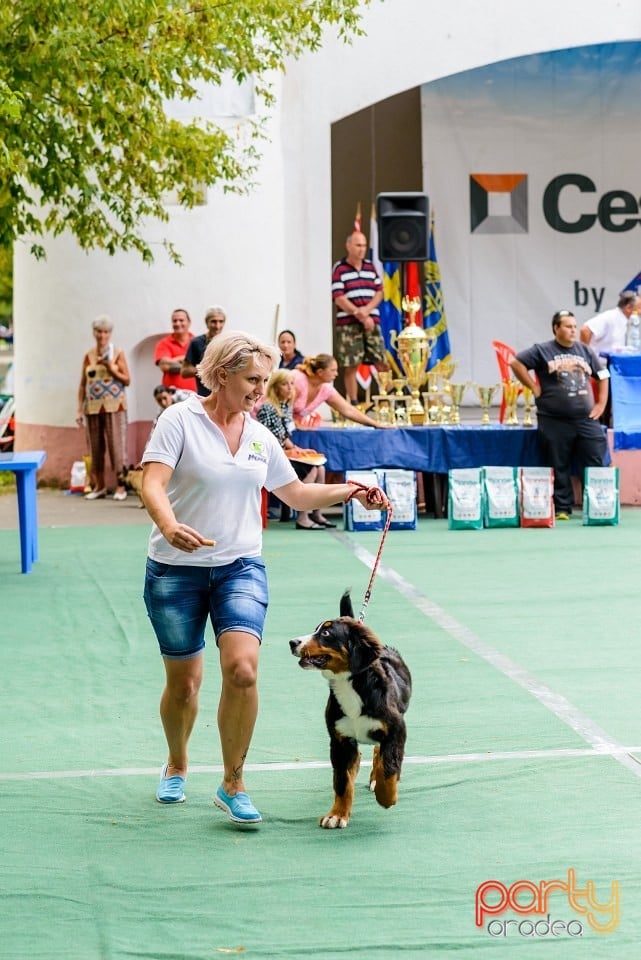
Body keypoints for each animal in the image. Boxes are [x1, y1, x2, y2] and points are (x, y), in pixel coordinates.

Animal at [288, 588, 410, 828]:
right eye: (316, 629)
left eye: (326, 633)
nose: (292, 642)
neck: (349, 684)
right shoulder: (340, 739)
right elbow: (342, 781)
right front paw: (337, 814)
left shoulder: (396, 729)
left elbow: (389, 767)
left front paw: (386, 796)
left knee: (379, 752)